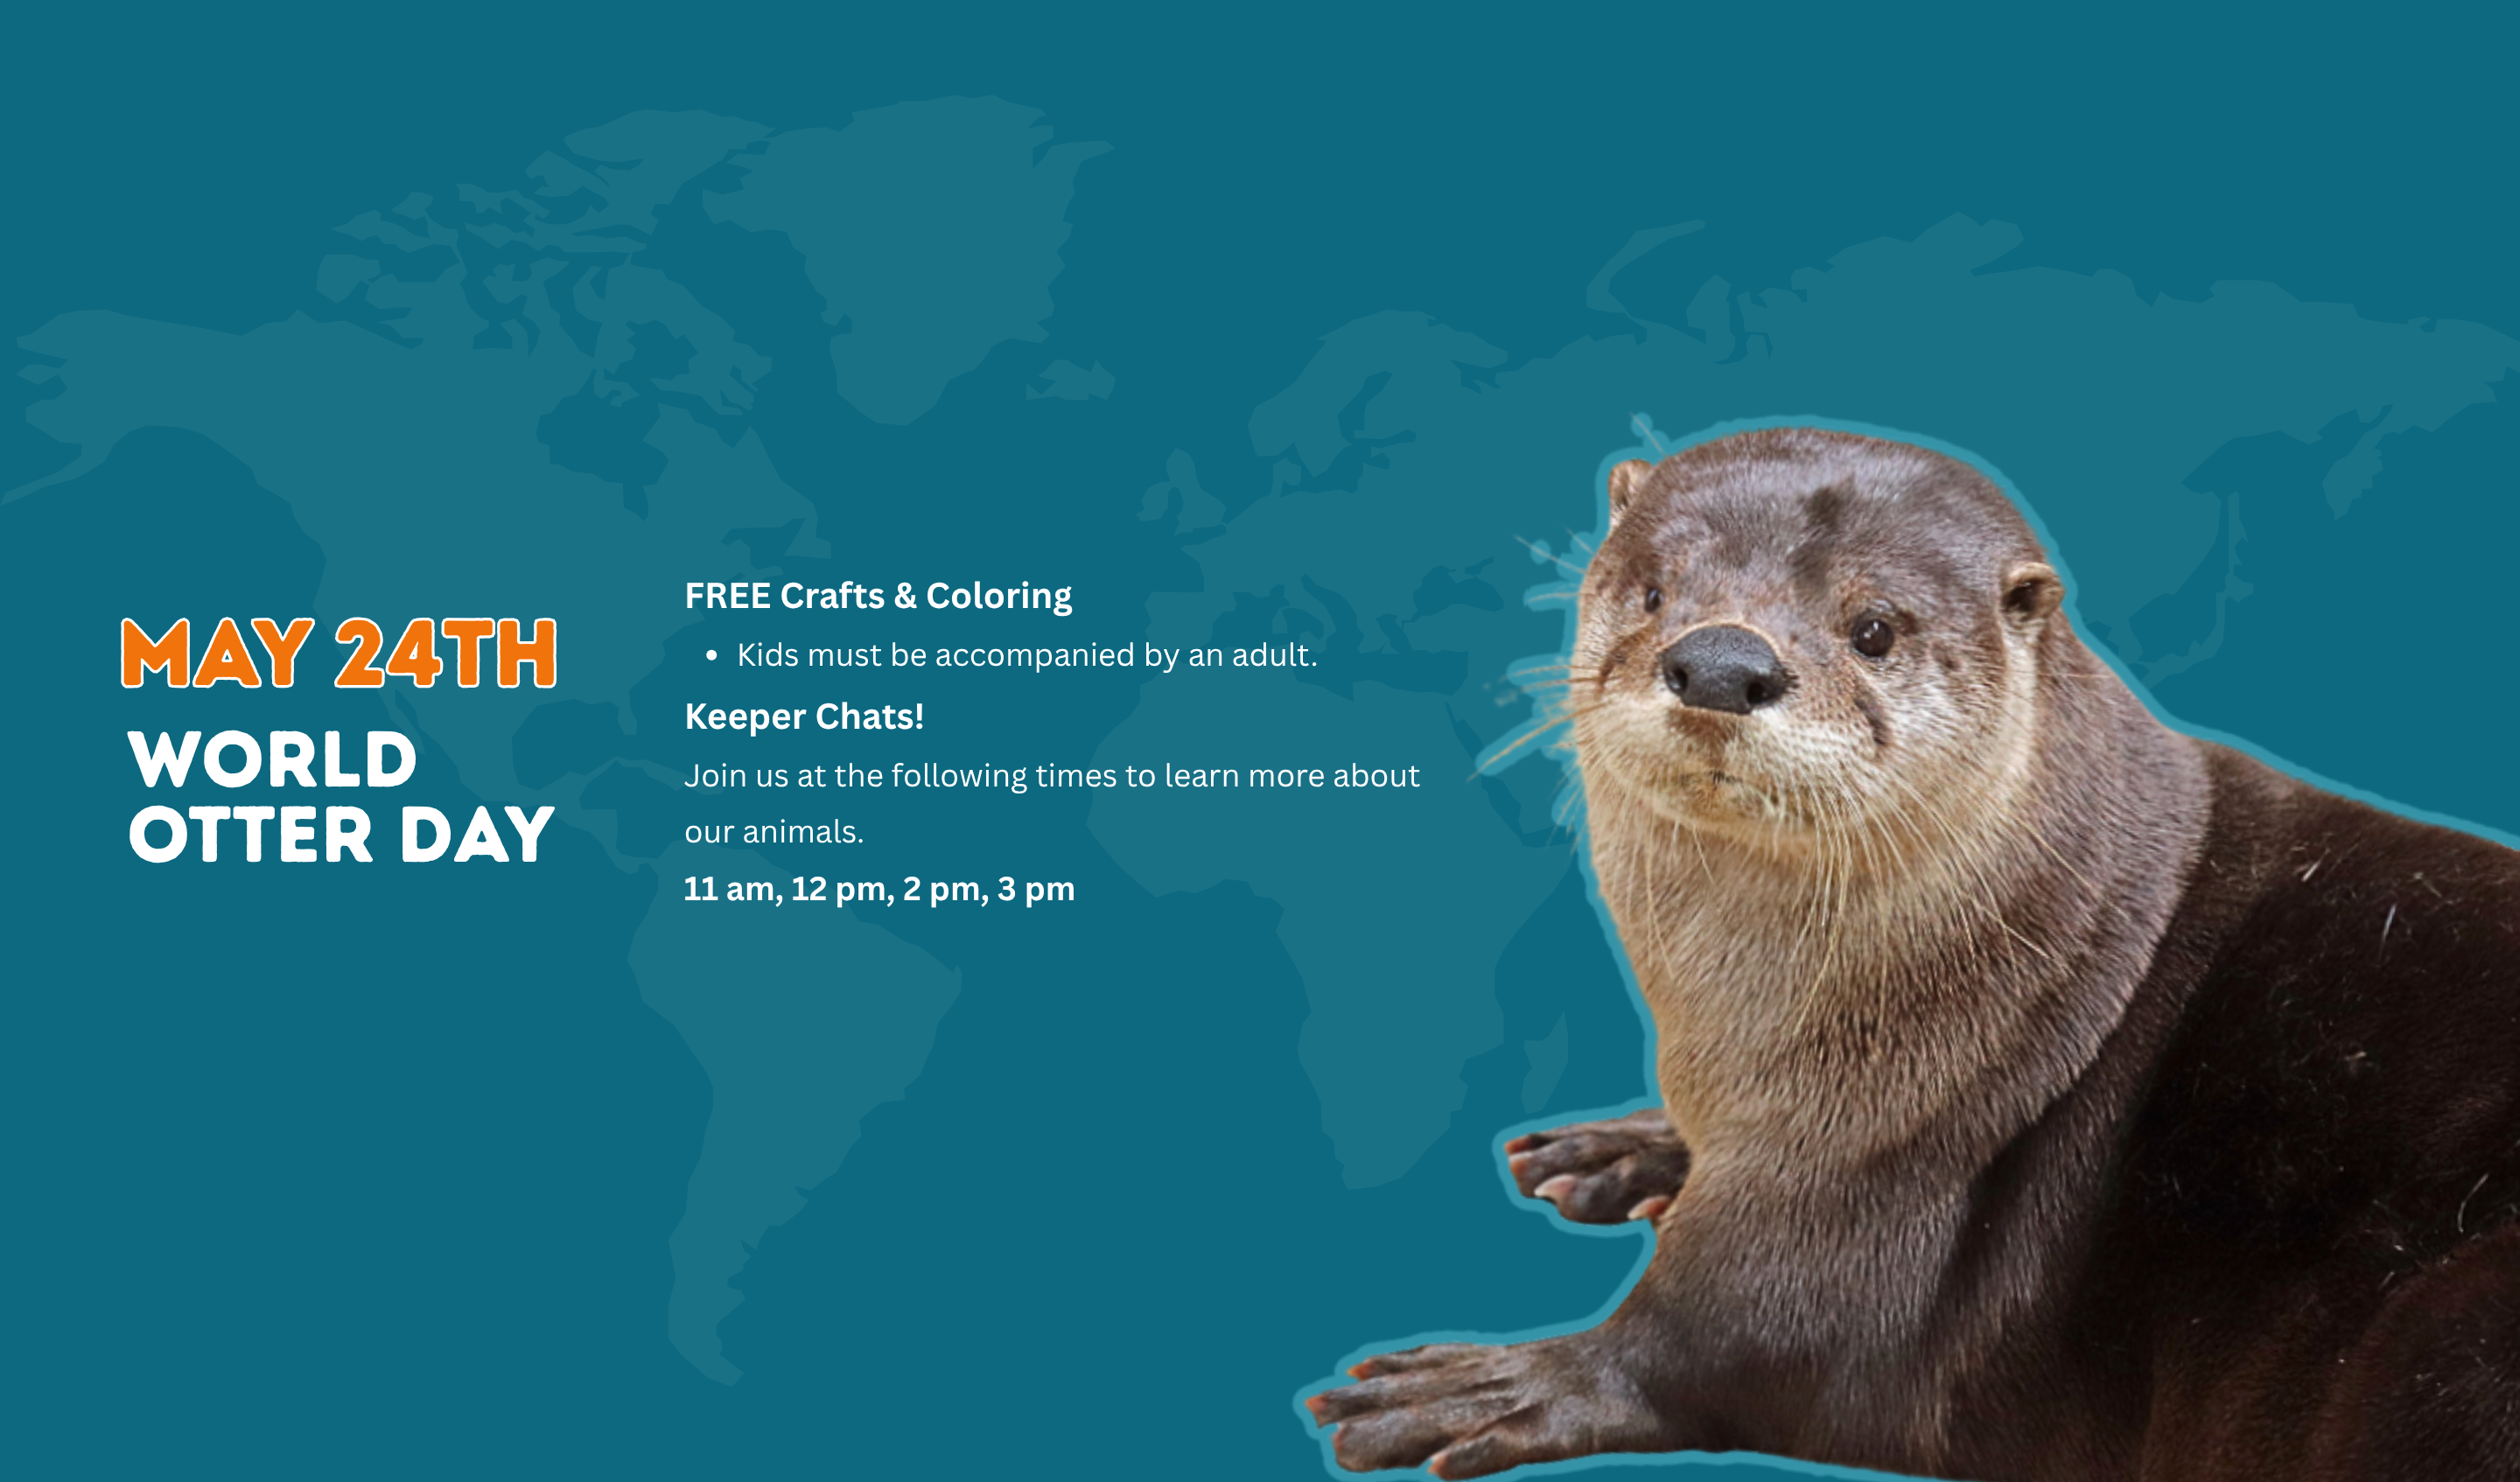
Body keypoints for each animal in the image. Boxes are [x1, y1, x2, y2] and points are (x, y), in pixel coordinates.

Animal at [1306, 428, 2520, 1481]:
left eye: (1875, 628)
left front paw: (1507, 1379)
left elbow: (1718, 1335)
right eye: (1652, 590)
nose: (1720, 661)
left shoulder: (1869, 1183)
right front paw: (1629, 1146)